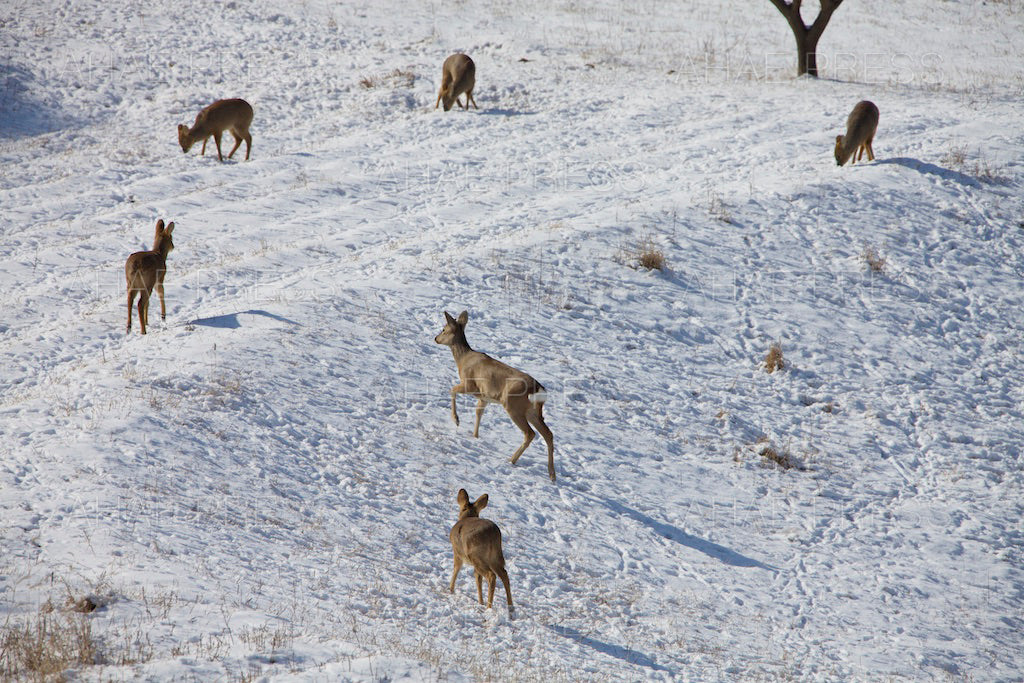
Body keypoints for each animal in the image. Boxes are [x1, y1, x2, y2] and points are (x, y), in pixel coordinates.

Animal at [434, 310, 556, 482]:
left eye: (444, 329)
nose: (436, 338)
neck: (463, 359)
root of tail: (537, 388)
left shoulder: (470, 384)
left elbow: (452, 390)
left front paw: (456, 420)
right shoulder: (484, 397)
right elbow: (479, 413)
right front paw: (475, 436)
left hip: (513, 405)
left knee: (530, 433)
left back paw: (511, 460)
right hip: (532, 411)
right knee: (548, 434)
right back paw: (552, 474)